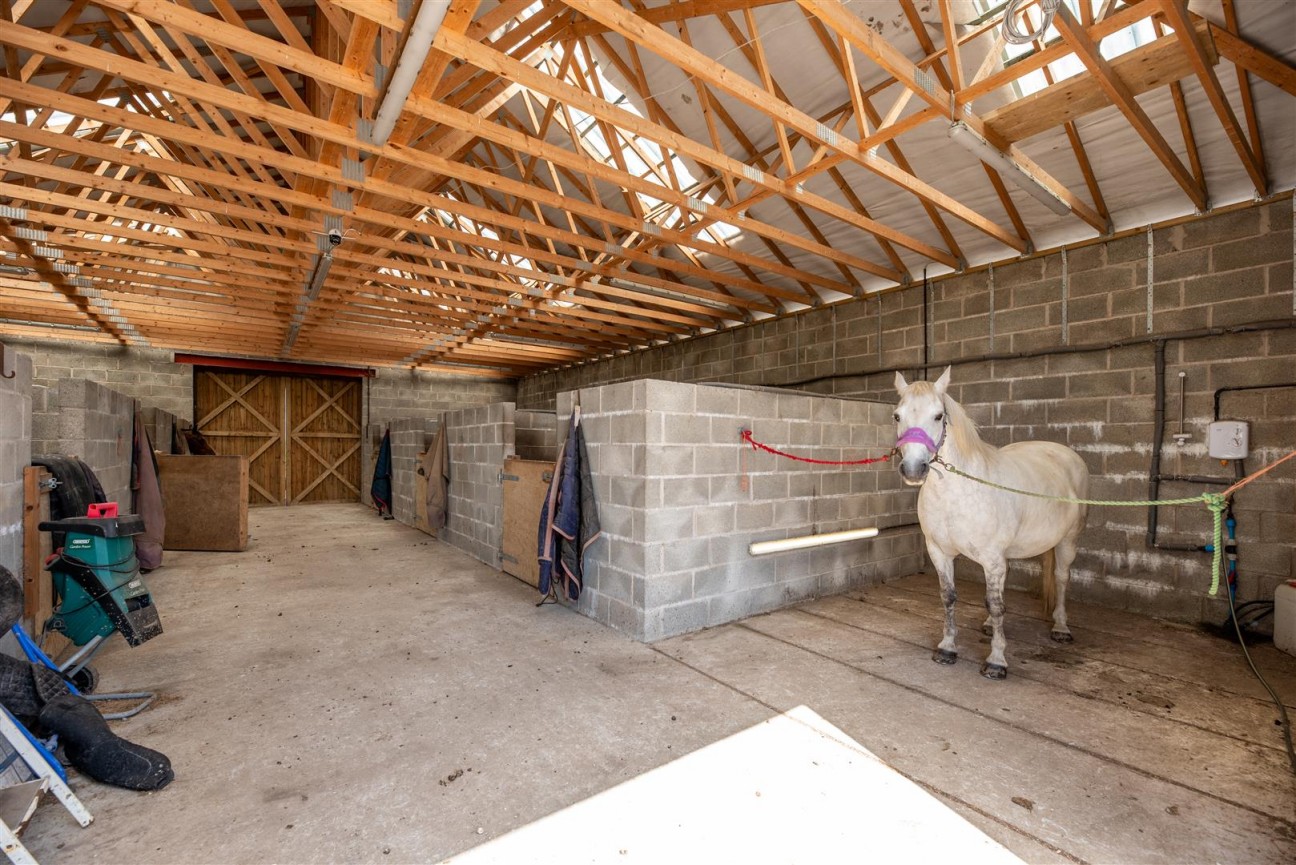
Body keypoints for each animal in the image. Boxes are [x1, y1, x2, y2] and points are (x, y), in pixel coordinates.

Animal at [896, 368, 1088, 679]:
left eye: (938, 416)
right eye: (897, 416)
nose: (914, 470)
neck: (957, 491)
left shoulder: (992, 559)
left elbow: (997, 605)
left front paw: (997, 661)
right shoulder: (940, 552)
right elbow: (949, 597)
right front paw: (947, 648)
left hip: (1067, 542)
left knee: (1061, 578)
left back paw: (1060, 627)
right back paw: (988, 626)